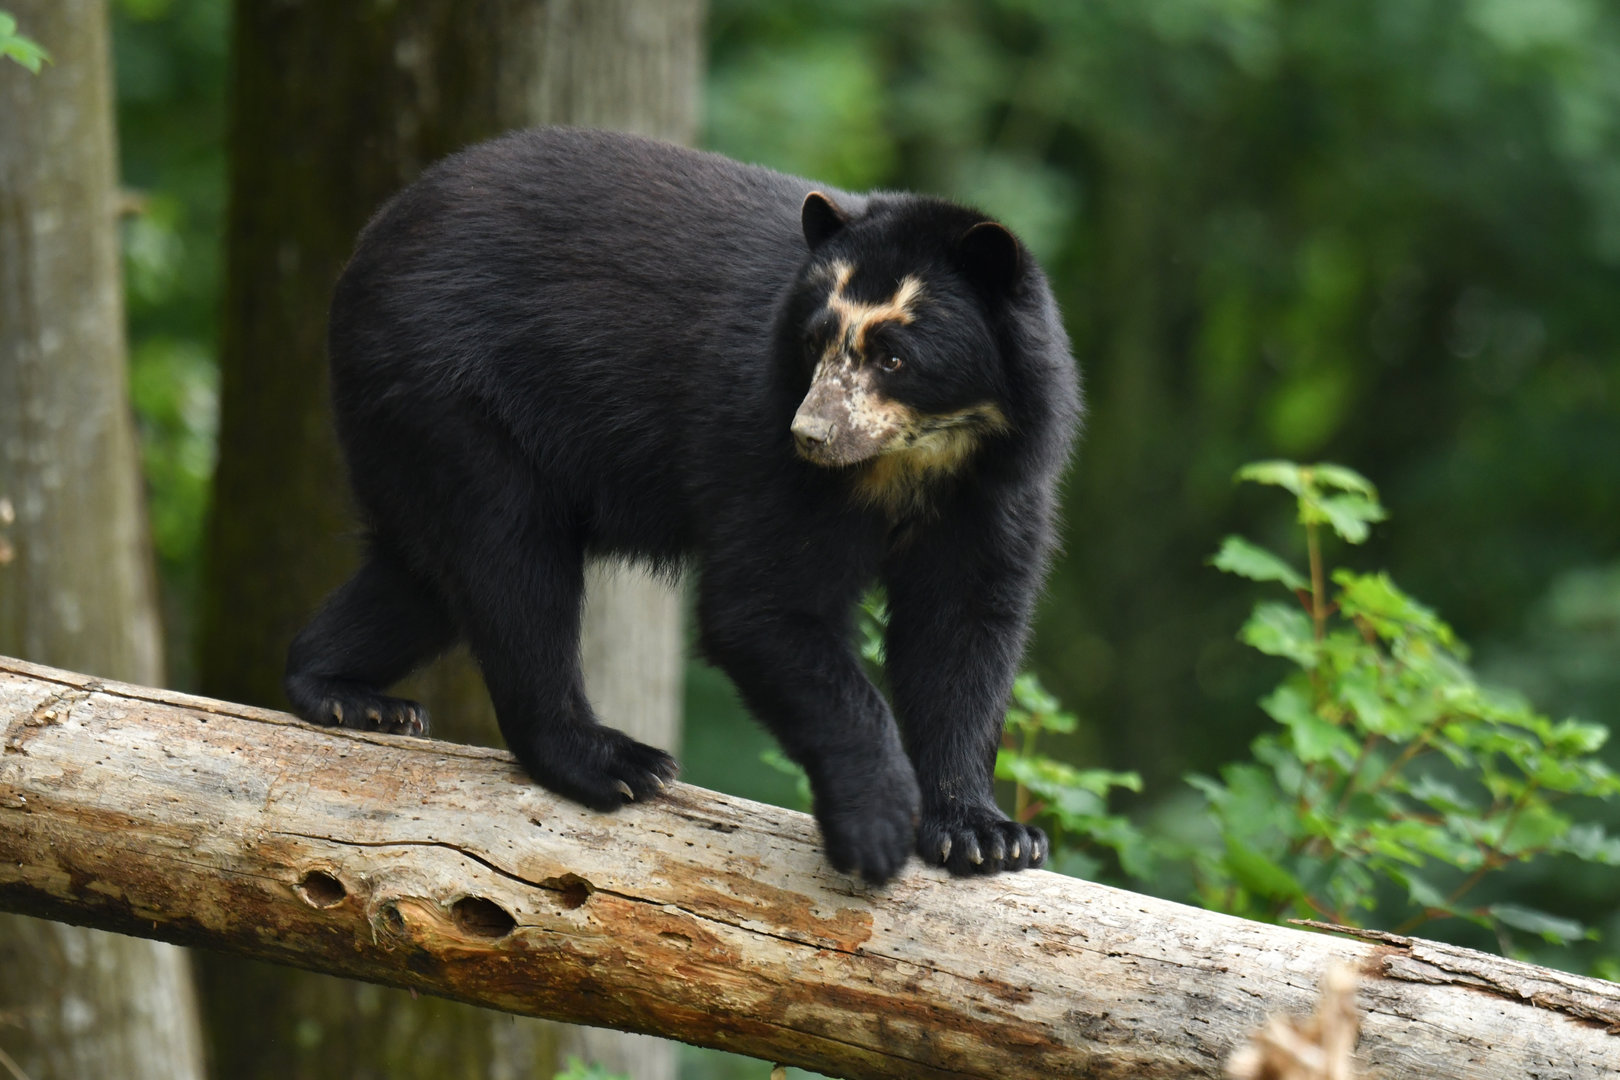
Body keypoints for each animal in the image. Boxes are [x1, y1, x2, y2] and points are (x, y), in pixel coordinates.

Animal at [284, 127, 1081, 885]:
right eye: (816, 342)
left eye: (894, 357)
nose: (812, 435)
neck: (912, 461)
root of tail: (370, 244)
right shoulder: (760, 442)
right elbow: (764, 608)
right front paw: (877, 827)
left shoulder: (997, 487)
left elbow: (963, 630)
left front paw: (985, 835)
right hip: (448, 392)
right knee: (511, 564)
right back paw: (611, 761)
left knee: (426, 574)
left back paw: (341, 692)